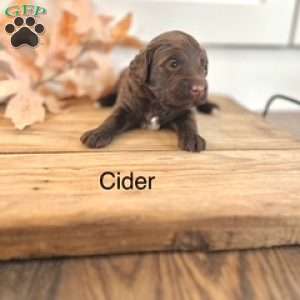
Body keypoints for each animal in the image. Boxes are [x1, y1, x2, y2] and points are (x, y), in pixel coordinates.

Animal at [81, 30, 218, 151]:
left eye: (203, 66)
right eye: (173, 64)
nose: (199, 88)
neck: (157, 101)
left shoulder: (185, 110)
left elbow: (189, 122)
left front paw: (194, 138)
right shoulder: (127, 106)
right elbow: (113, 119)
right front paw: (97, 133)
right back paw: (102, 101)